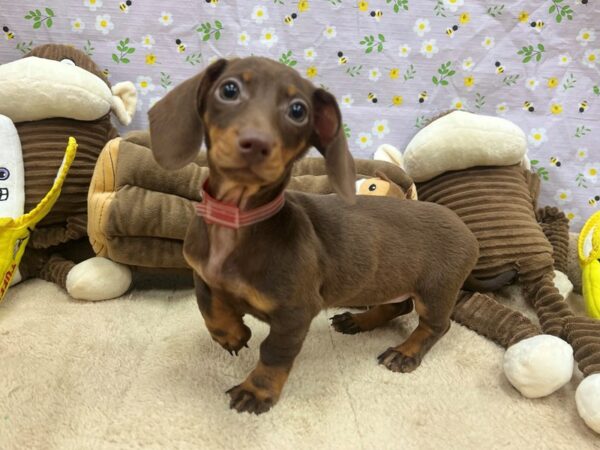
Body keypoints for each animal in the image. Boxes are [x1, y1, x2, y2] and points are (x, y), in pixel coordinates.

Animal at [146, 57, 478, 414]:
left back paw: (405, 352)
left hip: (436, 290)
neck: (237, 219)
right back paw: (360, 321)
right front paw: (232, 334)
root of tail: (466, 229)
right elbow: (209, 307)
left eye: (297, 110)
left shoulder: (294, 314)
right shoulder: (202, 274)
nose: (257, 143)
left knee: (436, 325)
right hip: (390, 281)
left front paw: (257, 391)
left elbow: (274, 352)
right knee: (398, 306)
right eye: (229, 89)